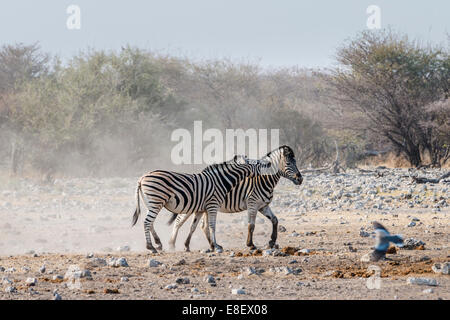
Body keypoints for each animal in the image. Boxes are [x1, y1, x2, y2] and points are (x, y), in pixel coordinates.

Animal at [130, 154, 270, 252]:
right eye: (257, 163)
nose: (268, 164)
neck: (221, 181)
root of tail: (142, 178)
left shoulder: (202, 209)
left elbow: (197, 227)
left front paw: (205, 245)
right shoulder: (213, 205)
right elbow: (212, 226)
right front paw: (216, 246)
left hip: (151, 204)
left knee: (150, 223)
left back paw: (158, 243)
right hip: (156, 201)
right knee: (147, 222)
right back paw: (151, 247)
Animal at [168, 146, 302, 252]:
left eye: (296, 162)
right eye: (289, 163)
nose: (300, 179)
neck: (264, 179)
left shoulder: (263, 206)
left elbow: (275, 220)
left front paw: (272, 241)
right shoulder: (252, 204)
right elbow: (251, 225)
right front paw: (251, 244)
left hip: (204, 208)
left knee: (202, 226)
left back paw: (207, 245)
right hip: (192, 205)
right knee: (178, 221)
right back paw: (171, 244)